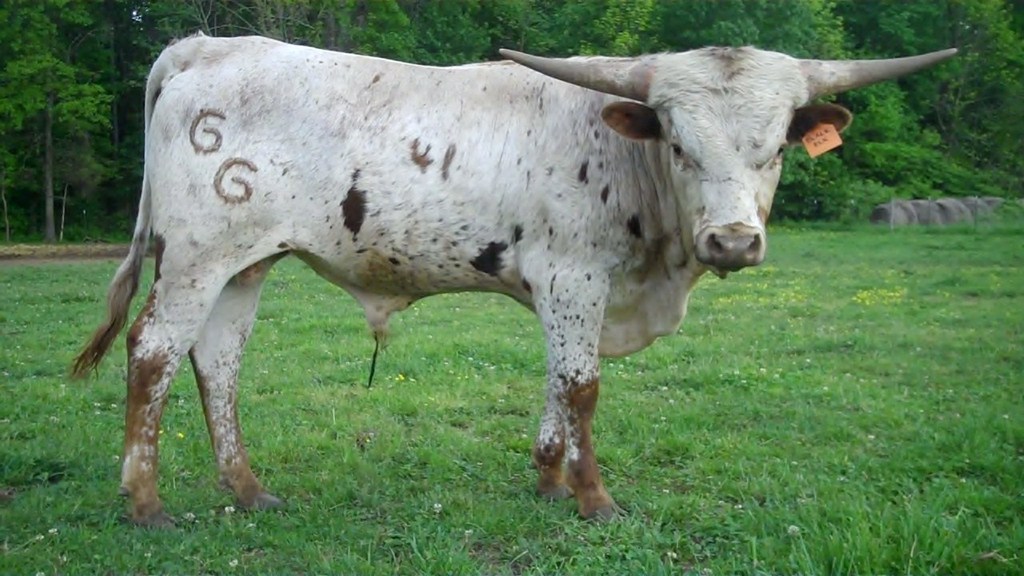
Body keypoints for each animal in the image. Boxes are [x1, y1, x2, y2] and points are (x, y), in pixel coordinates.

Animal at [72, 32, 955, 526]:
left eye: (774, 148)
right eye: (679, 144)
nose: (733, 241)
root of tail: (202, 46)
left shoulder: (573, 291)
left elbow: (560, 383)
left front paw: (548, 478)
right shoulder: (575, 276)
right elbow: (584, 385)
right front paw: (594, 500)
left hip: (247, 261)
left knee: (217, 361)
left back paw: (249, 490)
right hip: (196, 255)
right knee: (153, 353)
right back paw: (145, 503)